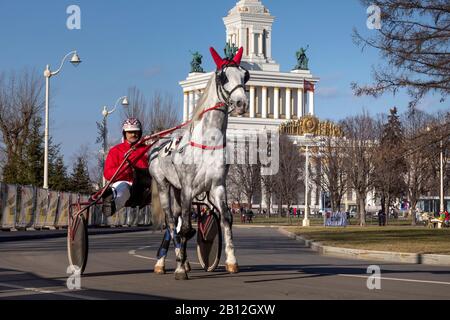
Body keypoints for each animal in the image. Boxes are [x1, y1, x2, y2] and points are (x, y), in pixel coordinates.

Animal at [149, 46, 248, 278]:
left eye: (245, 75)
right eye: (223, 77)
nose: (241, 103)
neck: (208, 143)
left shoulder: (217, 186)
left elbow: (226, 219)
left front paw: (231, 261)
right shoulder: (188, 188)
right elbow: (185, 228)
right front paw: (179, 268)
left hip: (177, 192)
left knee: (176, 222)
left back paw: (180, 260)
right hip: (164, 186)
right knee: (171, 222)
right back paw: (165, 262)